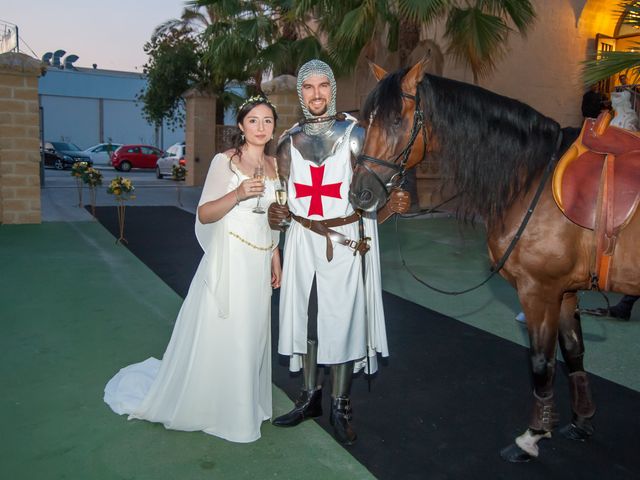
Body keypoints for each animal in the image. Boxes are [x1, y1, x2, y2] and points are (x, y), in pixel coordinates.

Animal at [350, 60, 640, 462]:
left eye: (395, 120)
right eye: (366, 119)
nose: (359, 193)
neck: (533, 178)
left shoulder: (539, 292)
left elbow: (541, 363)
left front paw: (533, 435)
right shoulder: (566, 292)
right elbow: (574, 353)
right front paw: (581, 422)